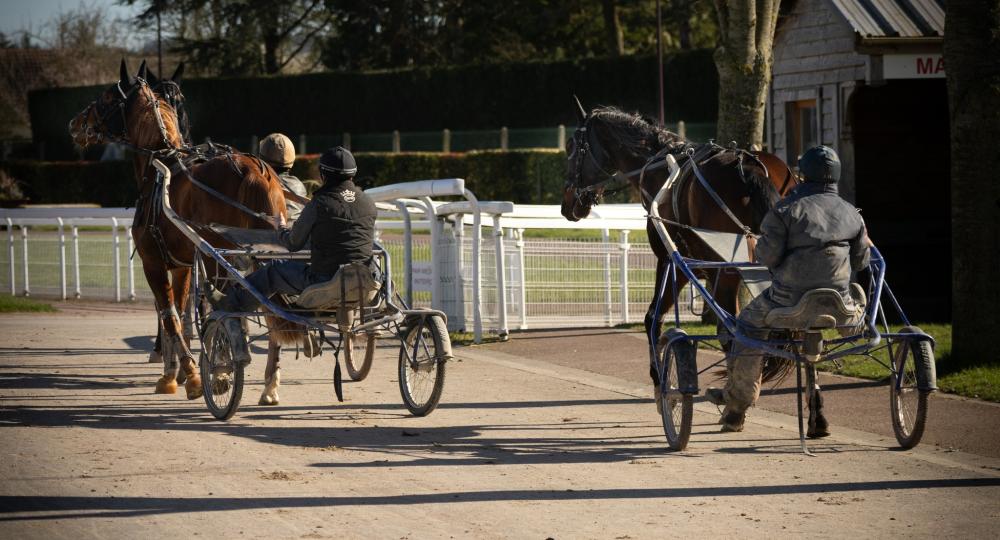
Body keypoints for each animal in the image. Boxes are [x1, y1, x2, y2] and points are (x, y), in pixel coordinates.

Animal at [69, 60, 290, 400]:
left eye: (106, 98)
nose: (76, 123)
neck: (162, 166)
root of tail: (254, 169)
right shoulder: (183, 263)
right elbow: (180, 313)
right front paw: (176, 372)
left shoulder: (153, 261)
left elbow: (170, 316)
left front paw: (187, 374)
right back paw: (269, 383)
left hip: (218, 260)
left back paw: (222, 370)